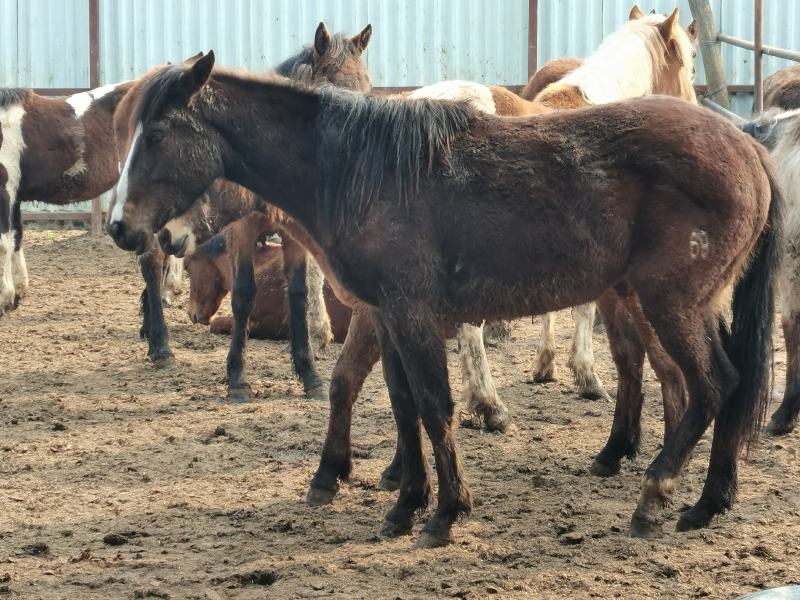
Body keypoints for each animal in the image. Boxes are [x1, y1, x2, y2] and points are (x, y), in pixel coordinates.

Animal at [0, 81, 133, 315]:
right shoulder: (14, 196)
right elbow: (16, 238)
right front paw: (17, 293)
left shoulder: (4, 192)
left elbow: (3, 244)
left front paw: (4, 299)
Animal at [106, 52, 780, 548]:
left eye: (158, 133)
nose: (122, 227)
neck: (360, 172)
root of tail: (747, 147)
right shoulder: (387, 317)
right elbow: (400, 405)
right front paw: (405, 501)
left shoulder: (412, 315)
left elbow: (434, 406)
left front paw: (444, 512)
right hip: (680, 304)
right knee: (719, 382)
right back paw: (707, 501)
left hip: (669, 303)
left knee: (713, 383)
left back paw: (656, 494)